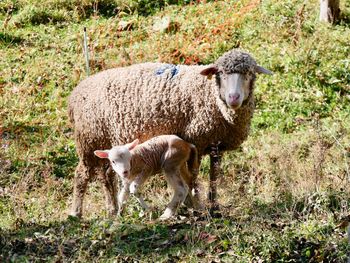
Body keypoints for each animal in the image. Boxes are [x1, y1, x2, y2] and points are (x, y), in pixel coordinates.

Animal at [67, 48, 270, 218]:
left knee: (107, 175)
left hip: (105, 143)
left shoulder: (215, 144)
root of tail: (76, 93)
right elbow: (193, 176)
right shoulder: (196, 140)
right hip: (89, 140)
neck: (211, 96)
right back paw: (76, 213)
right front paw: (195, 204)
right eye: (220, 73)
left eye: (249, 74)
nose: (233, 98)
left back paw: (112, 209)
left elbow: (214, 175)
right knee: (81, 175)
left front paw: (214, 206)